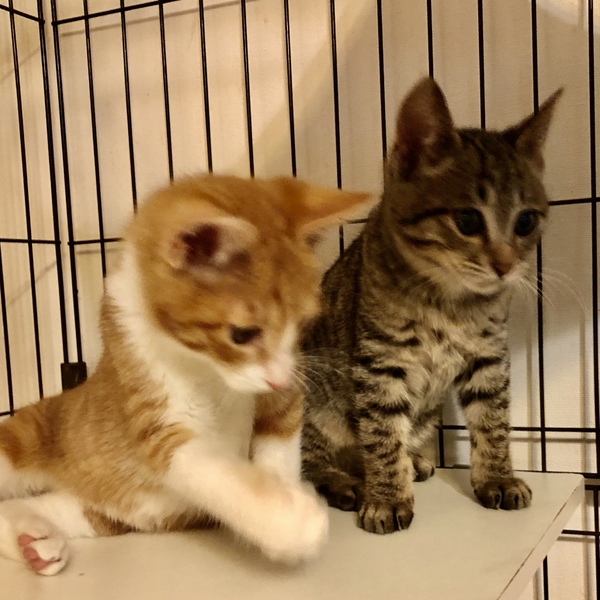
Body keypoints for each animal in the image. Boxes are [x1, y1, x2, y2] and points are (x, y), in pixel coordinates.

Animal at [0, 174, 371, 574]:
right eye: (242, 334)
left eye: (303, 324)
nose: (280, 379)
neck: (208, 370)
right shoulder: (153, 415)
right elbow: (206, 468)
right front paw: (290, 522)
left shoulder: (284, 396)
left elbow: (279, 443)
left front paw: (284, 498)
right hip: (24, 438)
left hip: (101, 512)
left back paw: (34, 540)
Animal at [301, 77, 562, 534]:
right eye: (468, 221)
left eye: (526, 222)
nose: (505, 266)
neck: (450, 302)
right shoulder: (380, 363)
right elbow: (382, 433)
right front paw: (387, 498)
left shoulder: (487, 357)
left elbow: (492, 421)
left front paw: (497, 477)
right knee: (304, 463)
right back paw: (346, 482)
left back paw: (412, 461)